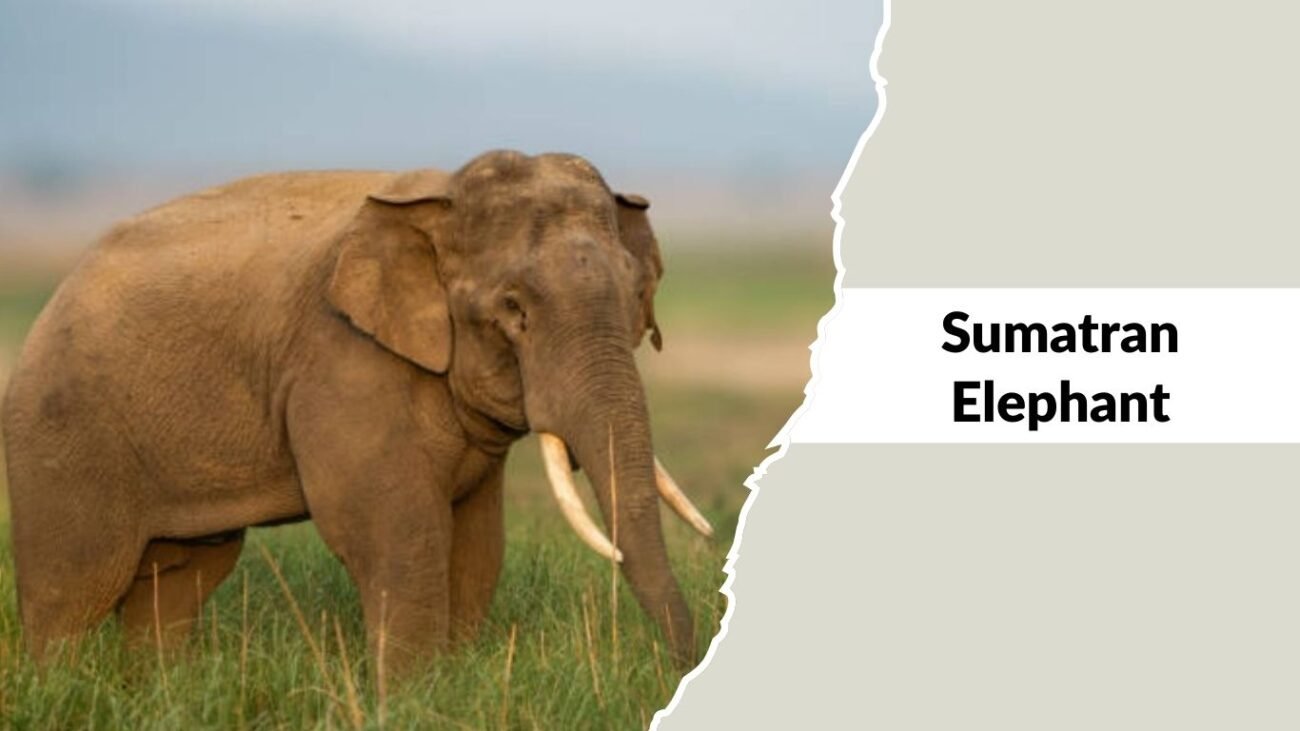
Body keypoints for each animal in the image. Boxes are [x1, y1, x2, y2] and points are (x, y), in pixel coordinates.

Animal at [0, 150, 713, 674]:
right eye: (513, 310)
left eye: (636, 296)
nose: (679, 664)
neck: (443, 196)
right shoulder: (342, 360)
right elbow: (395, 529)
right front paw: (411, 699)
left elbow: (477, 543)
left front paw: (445, 684)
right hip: (62, 435)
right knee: (73, 592)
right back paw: (61, 688)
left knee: (179, 579)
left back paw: (156, 687)